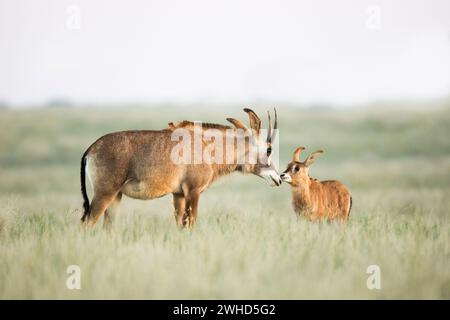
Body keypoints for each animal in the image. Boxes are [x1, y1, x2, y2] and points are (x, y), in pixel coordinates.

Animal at [79, 109, 280, 229]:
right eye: (268, 149)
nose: (278, 178)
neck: (207, 146)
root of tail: (91, 149)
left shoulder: (178, 195)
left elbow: (180, 226)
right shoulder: (193, 191)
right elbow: (190, 224)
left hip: (116, 196)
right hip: (105, 193)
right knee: (87, 223)